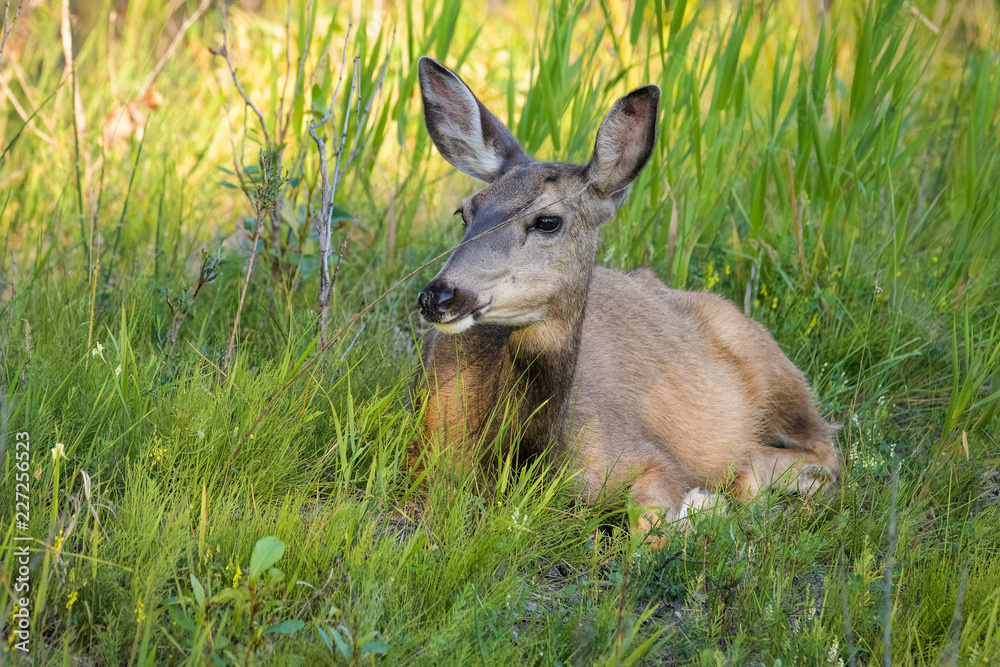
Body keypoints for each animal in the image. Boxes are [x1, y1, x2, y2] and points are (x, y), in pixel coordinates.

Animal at [412, 56, 839, 544]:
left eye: (547, 220)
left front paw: (699, 507)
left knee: (823, 449)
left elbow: (648, 535)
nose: (438, 295)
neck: (531, 460)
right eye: (465, 211)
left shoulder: (646, 454)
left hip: (777, 374)